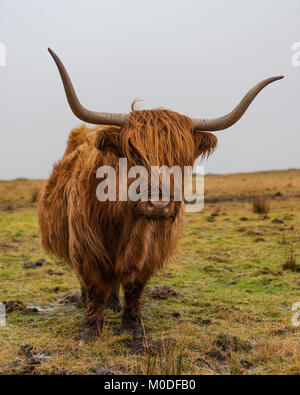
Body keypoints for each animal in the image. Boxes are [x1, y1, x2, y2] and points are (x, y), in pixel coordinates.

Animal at [37, 48, 282, 342]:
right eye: (132, 154)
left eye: (183, 160)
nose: (158, 204)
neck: (128, 225)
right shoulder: (85, 246)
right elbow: (94, 286)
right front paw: (91, 331)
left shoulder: (152, 250)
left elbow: (134, 286)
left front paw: (132, 326)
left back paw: (114, 304)